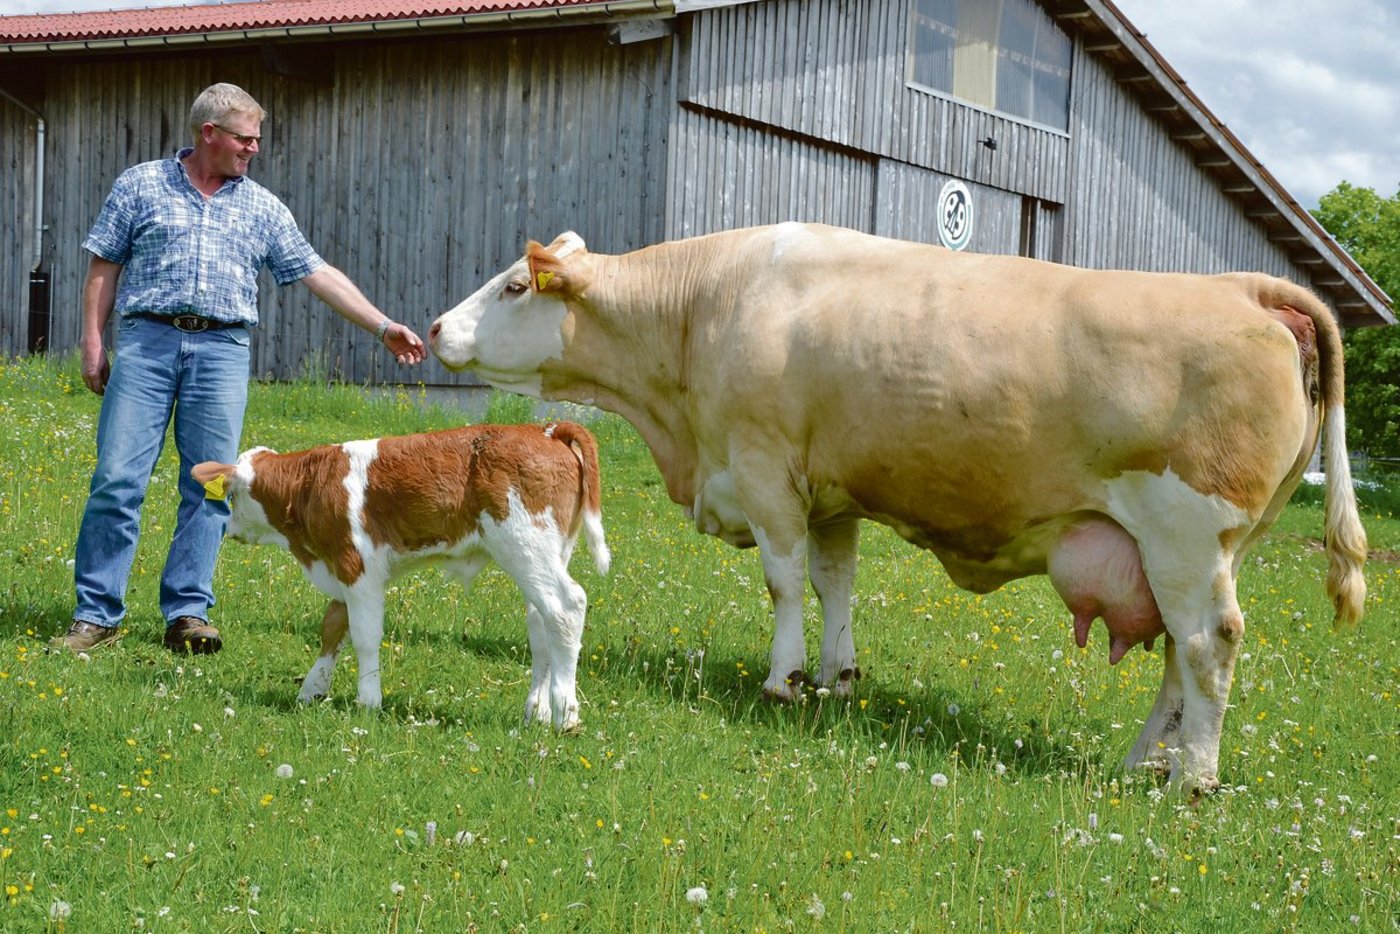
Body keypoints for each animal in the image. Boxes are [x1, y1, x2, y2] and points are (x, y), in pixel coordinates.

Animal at [192, 422, 609, 730]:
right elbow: (333, 626)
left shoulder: (357, 568)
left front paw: (367, 701)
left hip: (526, 546)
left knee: (567, 608)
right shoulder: (342, 566)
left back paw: (565, 715)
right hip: (546, 555)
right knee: (541, 623)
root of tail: (546, 430)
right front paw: (313, 689)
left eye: (232, 496)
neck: (311, 485)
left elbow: (363, 636)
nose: (229, 529)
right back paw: (536, 711)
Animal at [427, 223, 1367, 798]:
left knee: (1210, 647)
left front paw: (784, 680)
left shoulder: (766, 470)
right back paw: (1143, 762)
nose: (433, 328)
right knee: (1180, 654)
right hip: (1197, 551)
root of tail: (1244, 289)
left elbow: (784, 585)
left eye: (515, 286)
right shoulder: (829, 492)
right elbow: (834, 580)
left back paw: (1191, 777)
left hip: (1185, 536)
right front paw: (838, 677)